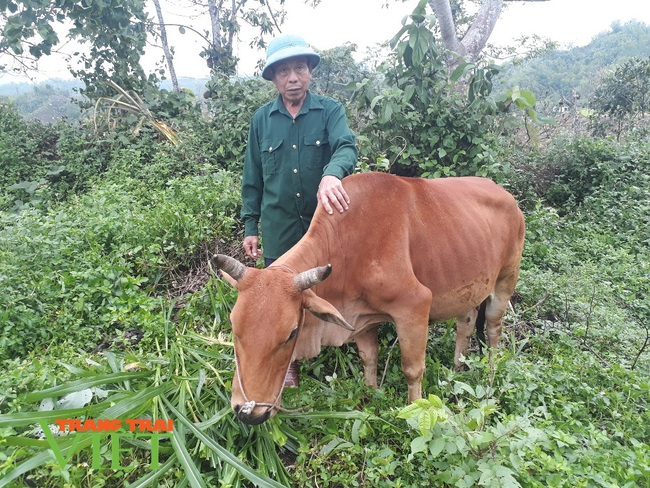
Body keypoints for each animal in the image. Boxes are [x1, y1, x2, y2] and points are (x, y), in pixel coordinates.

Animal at [215, 172, 524, 424]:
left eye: (291, 333)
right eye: (234, 328)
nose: (248, 412)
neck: (348, 246)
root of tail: (507, 195)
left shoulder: (414, 306)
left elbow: (413, 369)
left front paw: (414, 412)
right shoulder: (360, 317)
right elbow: (368, 358)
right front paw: (371, 395)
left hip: (506, 279)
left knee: (494, 328)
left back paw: (490, 373)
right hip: (471, 286)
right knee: (466, 323)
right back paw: (457, 369)